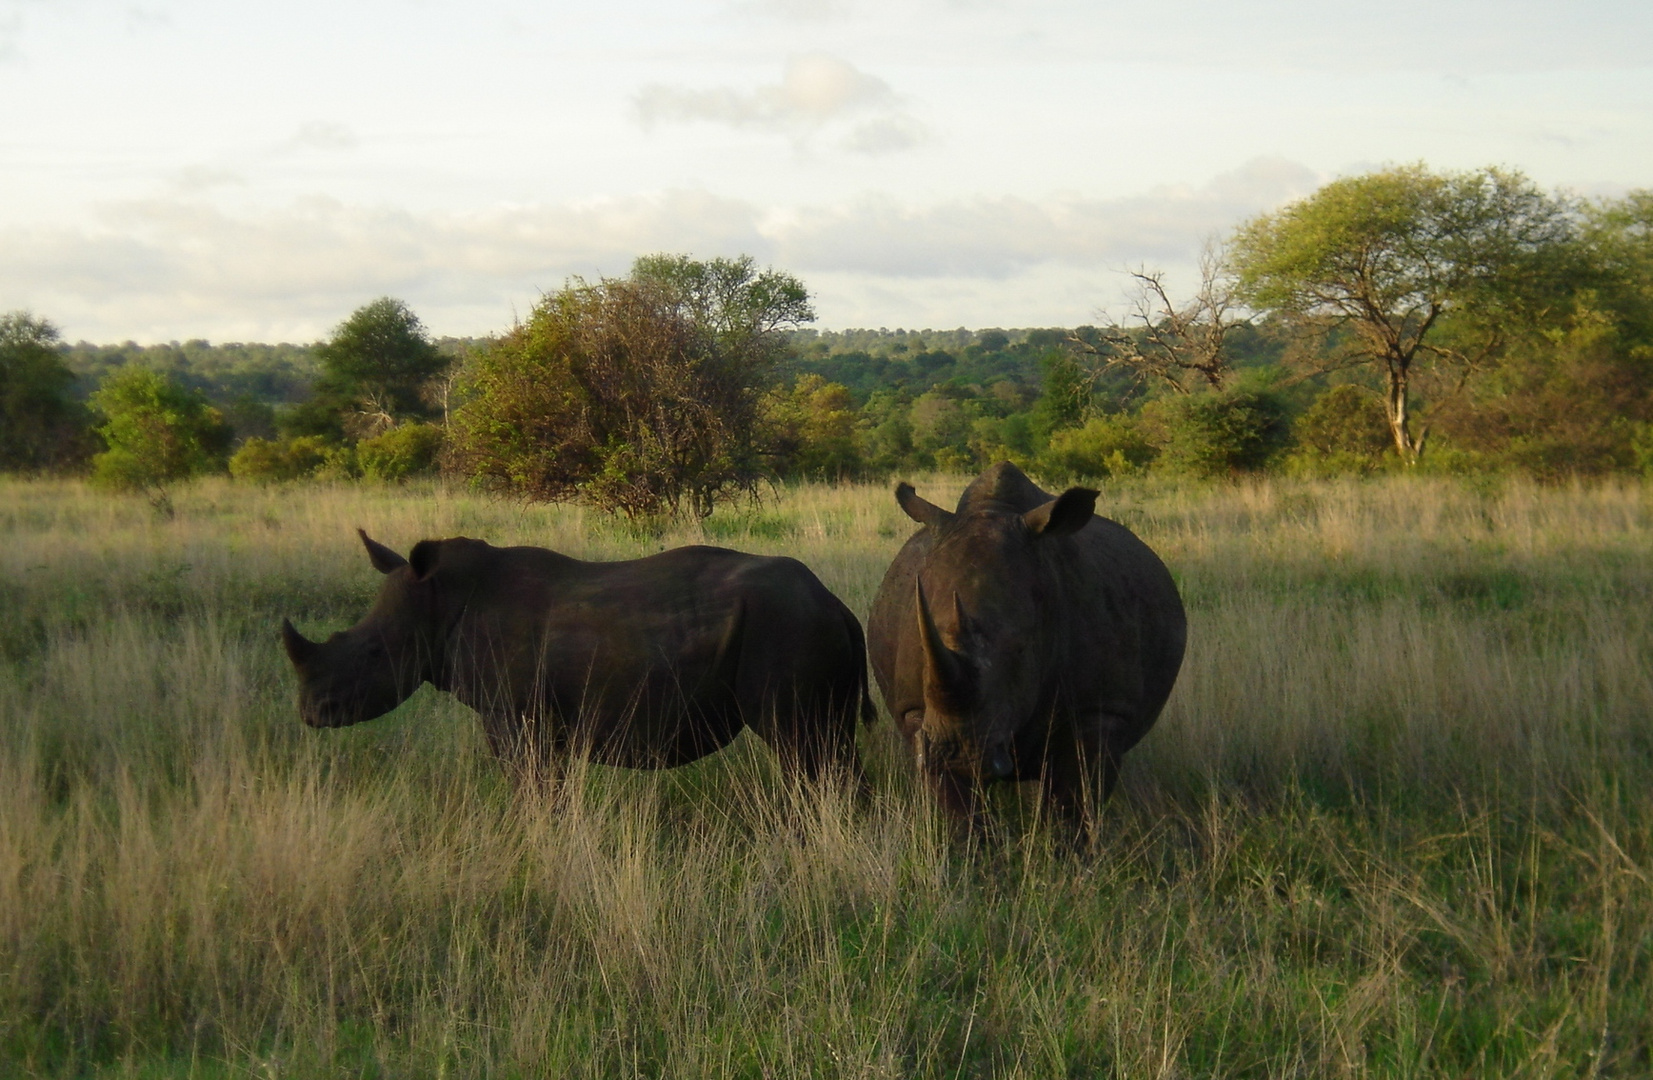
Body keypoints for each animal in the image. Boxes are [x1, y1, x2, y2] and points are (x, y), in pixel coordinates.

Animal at [284, 532, 879, 790]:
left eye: (372, 653)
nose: (310, 713)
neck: (440, 605)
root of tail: (838, 605)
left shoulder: (516, 717)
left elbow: (534, 793)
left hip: (786, 628)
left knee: (801, 749)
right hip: (803, 630)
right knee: (830, 748)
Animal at [866, 459, 1190, 833]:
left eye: (1022, 648)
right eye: (921, 643)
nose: (957, 753)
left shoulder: (1101, 710)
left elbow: (1073, 807)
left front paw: (1064, 847)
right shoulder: (919, 715)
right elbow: (956, 809)